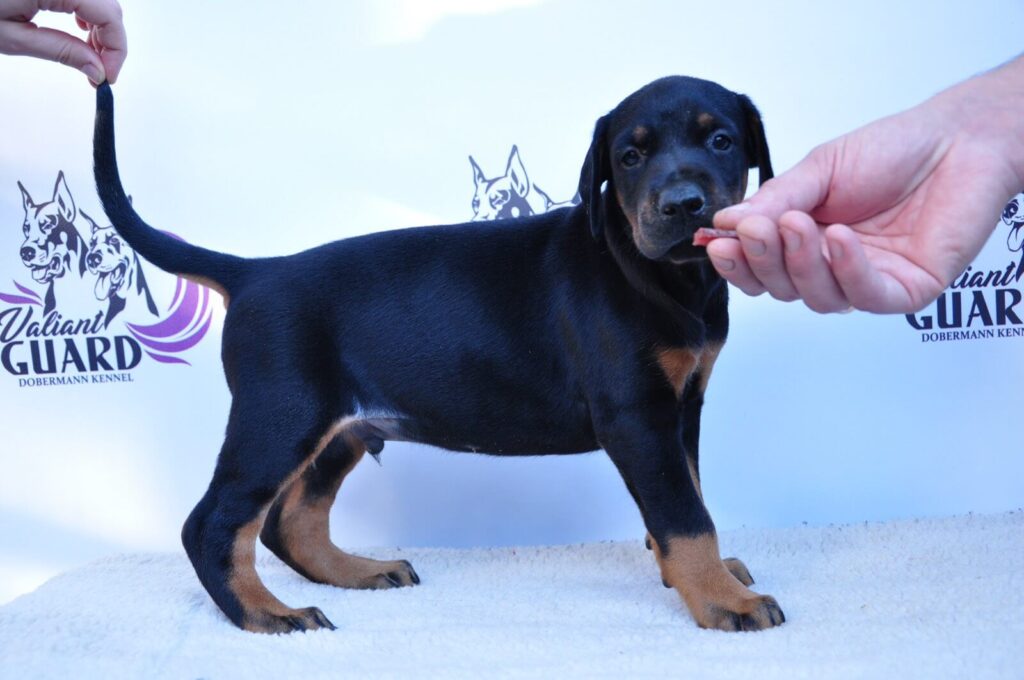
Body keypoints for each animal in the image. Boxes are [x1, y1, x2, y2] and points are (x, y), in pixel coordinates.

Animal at [94, 76, 782, 634]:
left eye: (721, 141)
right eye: (630, 156)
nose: (682, 205)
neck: (658, 274)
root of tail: (253, 272)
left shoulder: (681, 407)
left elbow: (687, 495)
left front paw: (708, 576)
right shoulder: (638, 415)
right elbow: (684, 514)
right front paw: (725, 601)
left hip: (338, 429)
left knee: (289, 523)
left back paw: (359, 572)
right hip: (281, 415)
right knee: (213, 522)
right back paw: (266, 614)